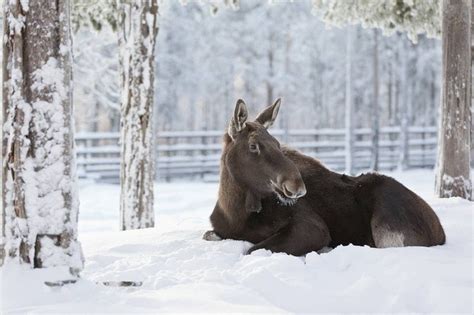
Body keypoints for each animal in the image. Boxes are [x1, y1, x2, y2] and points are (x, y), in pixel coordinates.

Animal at [203, 99, 444, 256]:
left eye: (278, 144)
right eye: (253, 145)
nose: (297, 186)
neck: (235, 211)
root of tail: (440, 232)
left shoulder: (314, 228)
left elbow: (251, 250)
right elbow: (210, 234)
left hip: (387, 228)